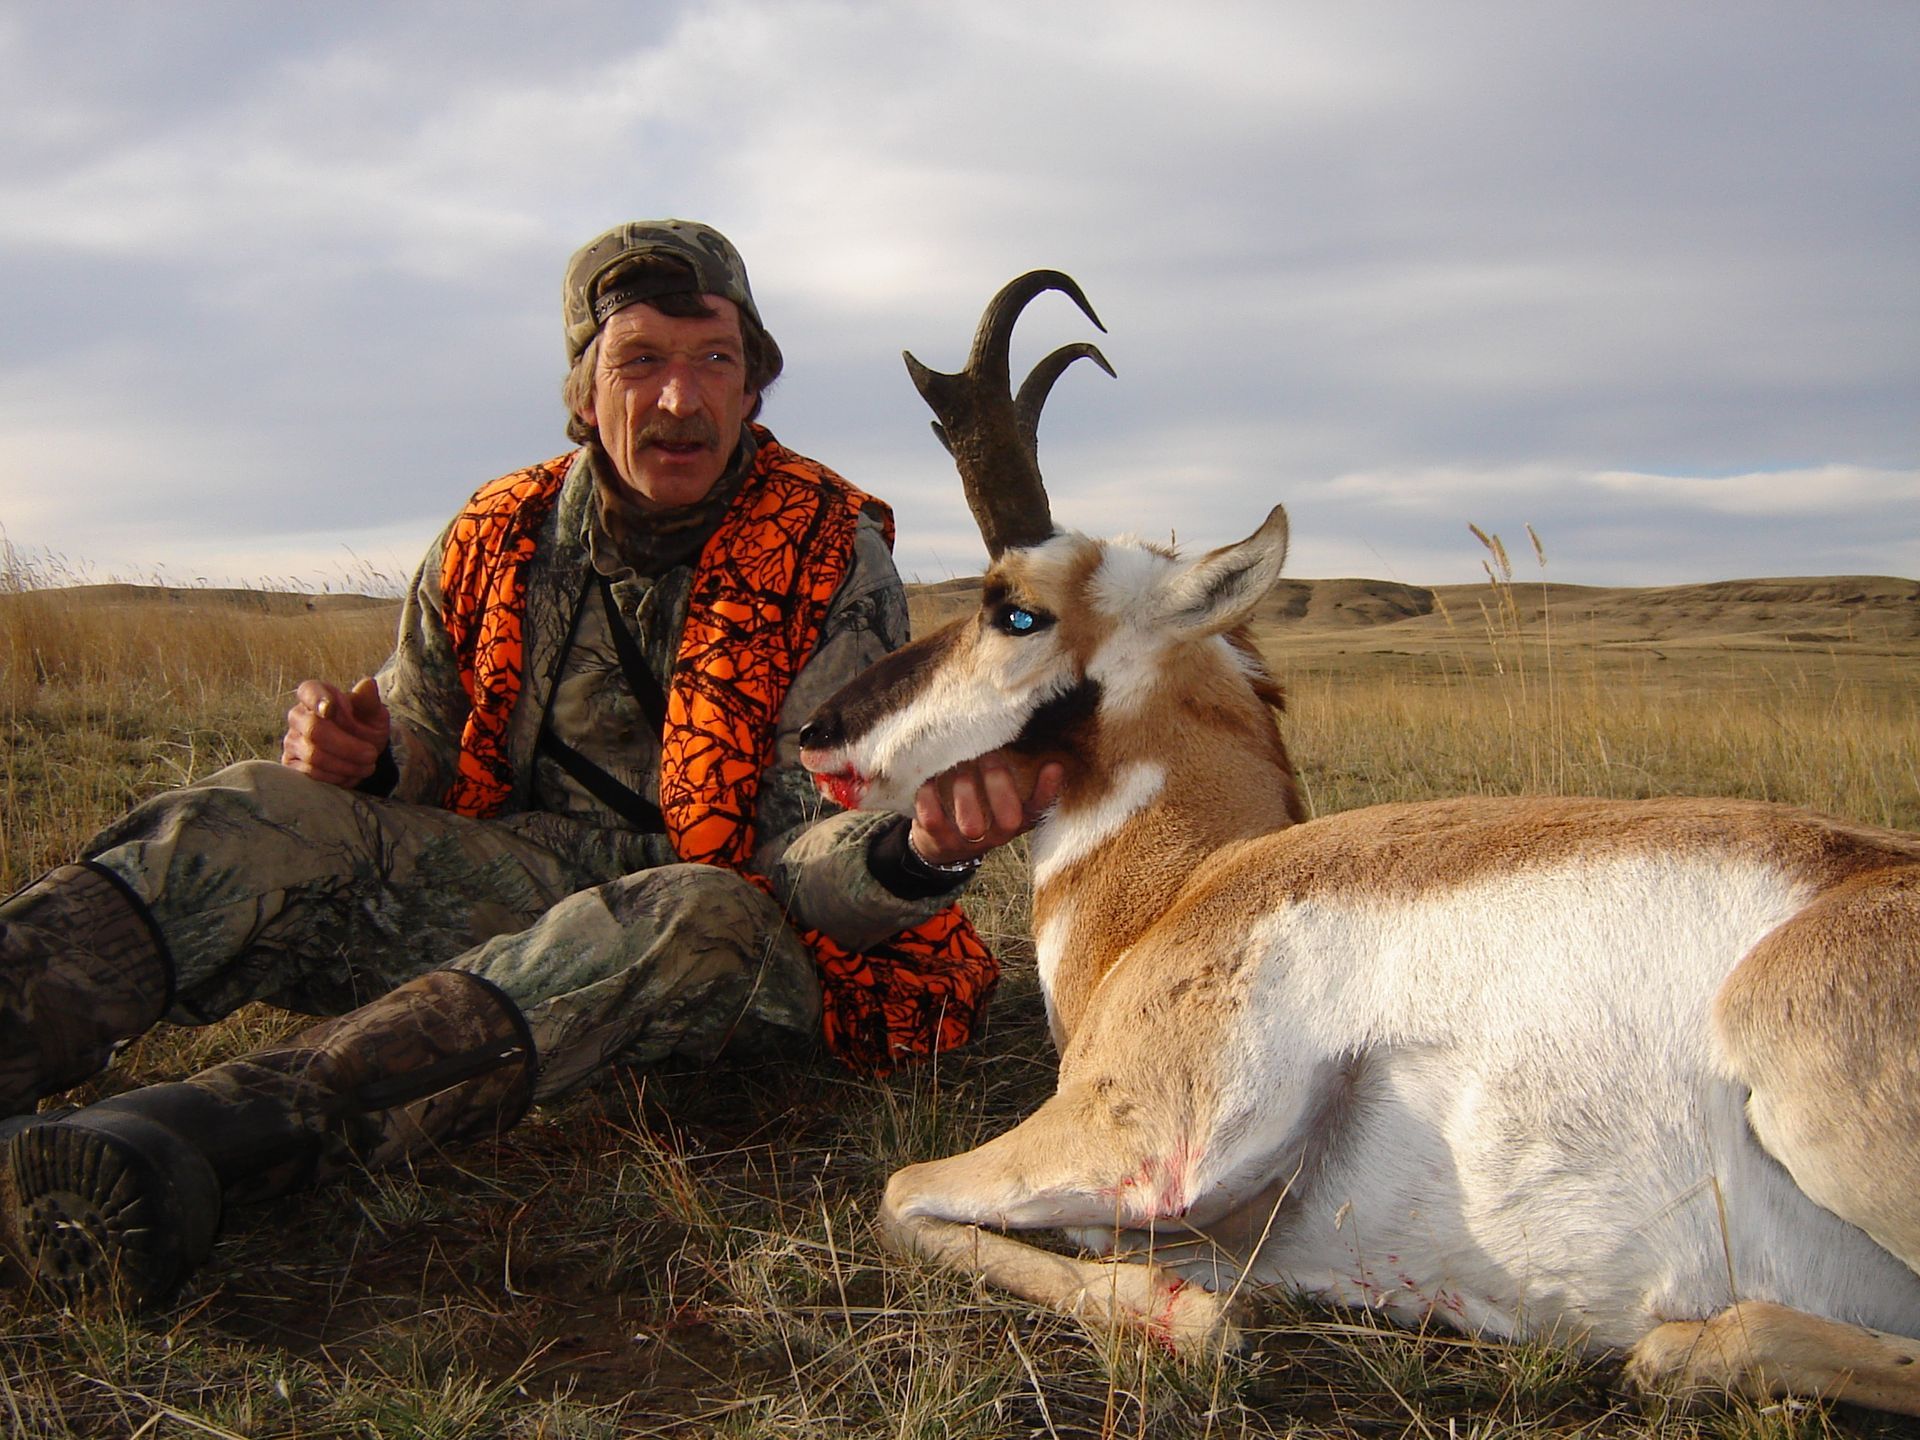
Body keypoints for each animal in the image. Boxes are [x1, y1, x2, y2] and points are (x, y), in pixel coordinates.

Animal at [798, 272, 1920, 1416]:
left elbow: (901, 1194)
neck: (1188, 888)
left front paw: (1193, 1321)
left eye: (1015, 609)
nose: (817, 730)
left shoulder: (1142, 1141)